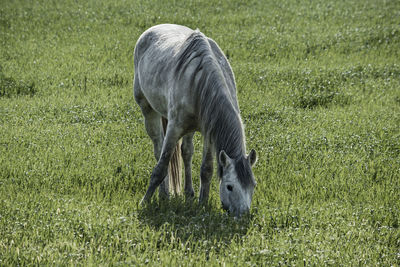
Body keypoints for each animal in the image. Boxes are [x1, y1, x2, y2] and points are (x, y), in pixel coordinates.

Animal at [133, 23, 258, 218]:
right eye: (230, 187)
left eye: (253, 185)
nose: (243, 215)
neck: (201, 80)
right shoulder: (174, 128)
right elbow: (161, 167)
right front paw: (144, 202)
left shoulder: (209, 131)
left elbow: (207, 169)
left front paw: (202, 204)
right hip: (148, 111)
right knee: (158, 149)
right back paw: (163, 194)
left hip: (190, 128)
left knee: (186, 152)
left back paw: (188, 193)